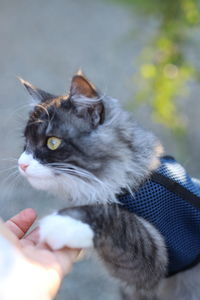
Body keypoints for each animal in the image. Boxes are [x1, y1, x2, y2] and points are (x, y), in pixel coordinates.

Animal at [17, 72, 200, 300]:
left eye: (52, 142)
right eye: (25, 144)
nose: (21, 164)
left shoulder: (155, 261)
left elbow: (116, 217)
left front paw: (63, 223)